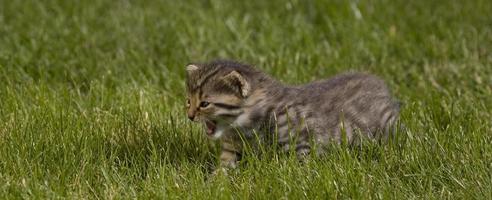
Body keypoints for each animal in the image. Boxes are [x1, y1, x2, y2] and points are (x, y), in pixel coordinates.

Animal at [184, 59, 400, 169]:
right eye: (188, 101)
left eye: (204, 104)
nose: (190, 116)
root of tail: (381, 84)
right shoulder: (232, 149)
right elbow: (224, 168)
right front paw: (214, 184)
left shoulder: (302, 141)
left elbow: (299, 165)